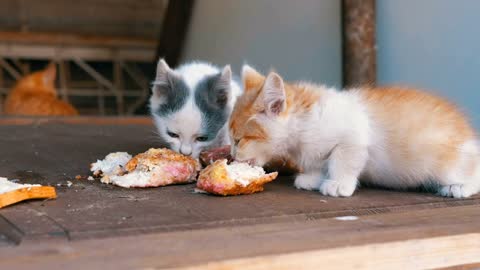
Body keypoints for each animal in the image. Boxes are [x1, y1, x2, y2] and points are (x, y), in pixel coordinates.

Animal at [230, 66, 480, 198]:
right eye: (232, 140)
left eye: (239, 140)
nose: (231, 154)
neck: (304, 123)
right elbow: (319, 162)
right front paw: (313, 177)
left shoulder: (353, 137)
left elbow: (342, 161)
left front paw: (338, 184)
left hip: (447, 163)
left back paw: (459, 187)